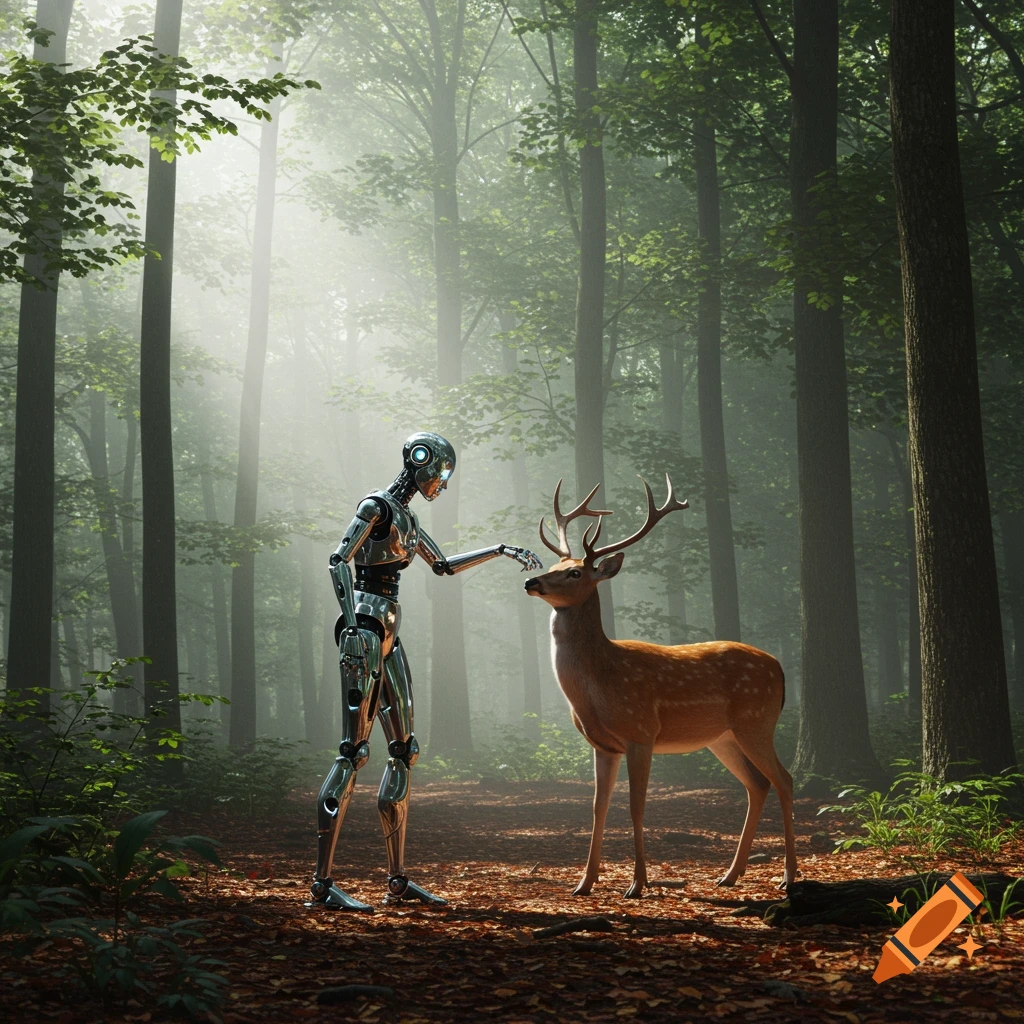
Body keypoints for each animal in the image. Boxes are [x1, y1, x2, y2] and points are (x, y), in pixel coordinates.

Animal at [523, 476, 797, 899]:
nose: (530, 581)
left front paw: (637, 884)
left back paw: (788, 876)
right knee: (758, 784)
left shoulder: (641, 732)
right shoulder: (603, 745)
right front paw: (584, 883)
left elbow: (637, 806)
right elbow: (598, 807)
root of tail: (781, 670)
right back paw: (729, 874)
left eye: (576, 574)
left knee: (784, 780)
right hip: (722, 737)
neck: (600, 684)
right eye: (555, 565)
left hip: (757, 721)